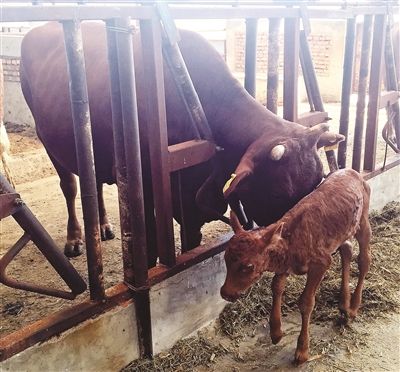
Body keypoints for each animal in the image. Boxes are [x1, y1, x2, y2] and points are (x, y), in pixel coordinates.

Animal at [20, 22, 342, 262]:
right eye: (276, 193)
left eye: (315, 184)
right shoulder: (149, 191)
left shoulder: (191, 200)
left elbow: (192, 240)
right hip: (49, 142)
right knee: (71, 186)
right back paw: (75, 238)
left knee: (93, 181)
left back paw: (103, 225)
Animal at [220, 169, 370, 366]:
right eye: (225, 259)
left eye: (248, 266)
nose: (225, 293)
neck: (291, 242)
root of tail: (351, 171)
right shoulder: (285, 265)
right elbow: (276, 287)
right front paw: (276, 332)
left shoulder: (322, 262)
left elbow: (306, 302)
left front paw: (302, 351)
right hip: (343, 230)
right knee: (347, 248)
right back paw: (344, 304)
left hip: (363, 220)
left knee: (364, 260)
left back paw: (353, 307)